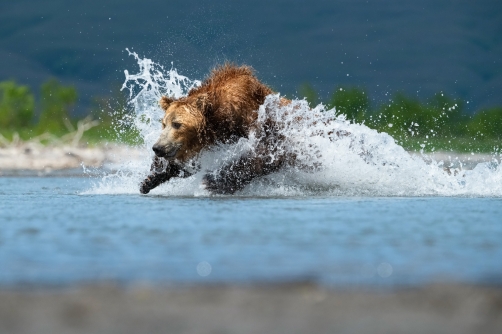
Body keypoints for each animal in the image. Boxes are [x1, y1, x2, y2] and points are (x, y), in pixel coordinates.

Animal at [139, 63, 288, 194]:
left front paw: (215, 181)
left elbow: (267, 152)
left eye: (177, 124)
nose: (157, 148)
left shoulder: (255, 120)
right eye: (164, 124)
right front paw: (150, 178)